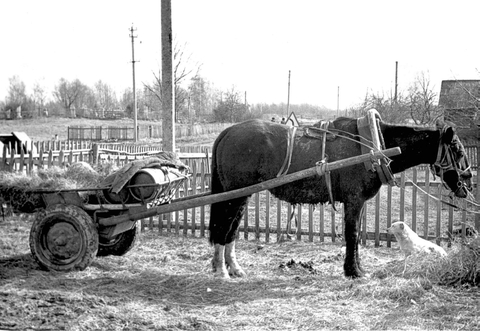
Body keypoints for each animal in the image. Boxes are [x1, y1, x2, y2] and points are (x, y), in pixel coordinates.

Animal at [207, 115, 472, 278]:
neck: (372, 146)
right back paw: (221, 270)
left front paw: (357, 268)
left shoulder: (359, 202)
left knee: (231, 229)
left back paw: (234, 268)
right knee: (224, 227)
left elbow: (355, 235)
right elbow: (352, 234)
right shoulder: (354, 200)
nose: (467, 183)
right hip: (234, 197)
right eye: (458, 150)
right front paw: (353, 271)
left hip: (242, 196)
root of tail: (228, 132)